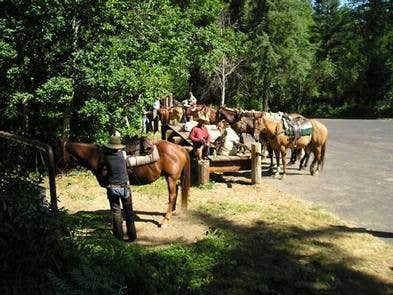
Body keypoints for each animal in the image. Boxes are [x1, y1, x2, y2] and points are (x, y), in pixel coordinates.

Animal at [62, 140, 190, 228]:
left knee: (172, 195)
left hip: (171, 178)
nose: (60, 168)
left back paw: (165, 221)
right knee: (176, 191)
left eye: (60, 152)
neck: (98, 158)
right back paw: (172, 211)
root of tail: (179, 147)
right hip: (172, 178)